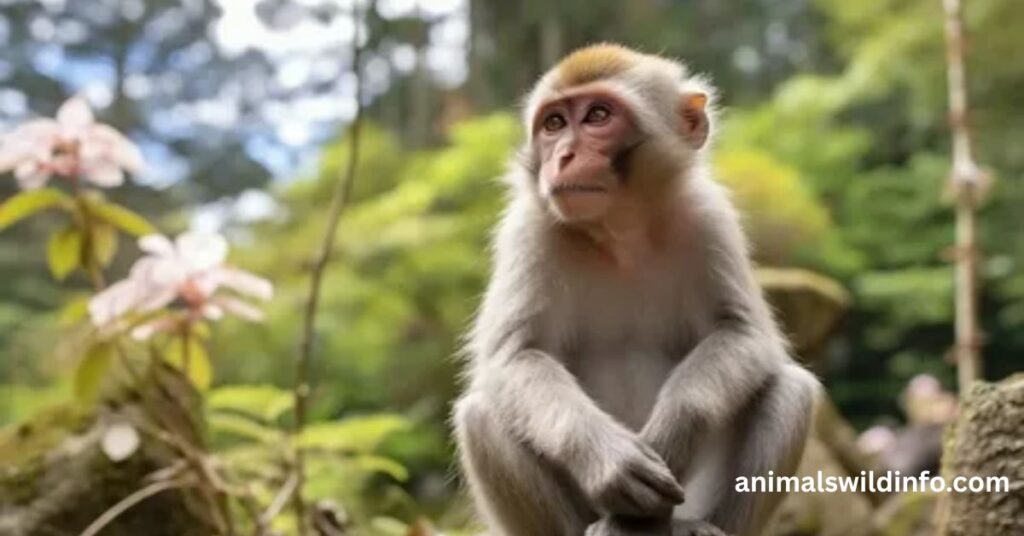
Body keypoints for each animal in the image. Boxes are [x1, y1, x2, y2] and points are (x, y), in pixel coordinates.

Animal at [452, 44, 819, 536]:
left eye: (598, 115)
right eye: (554, 124)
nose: (563, 155)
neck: (620, 230)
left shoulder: (708, 217)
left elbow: (742, 332)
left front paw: (674, 433)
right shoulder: (527, 232)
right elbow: (516, 355)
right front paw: (611, 462)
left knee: (791, 389)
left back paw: (705, 527)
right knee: (481, 416)